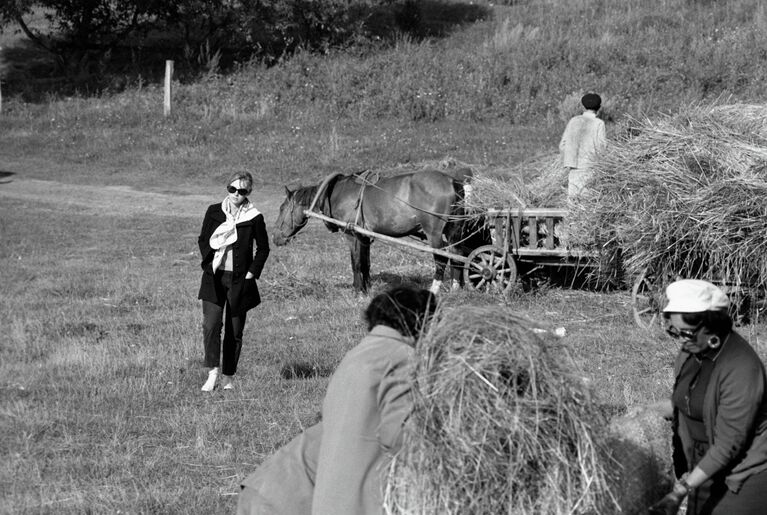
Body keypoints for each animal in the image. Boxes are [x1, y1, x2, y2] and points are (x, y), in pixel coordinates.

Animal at [272, 167, 472, 292]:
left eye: (281, 209)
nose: (275, 237)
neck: (334, 192)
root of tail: (452, 180)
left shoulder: (352, 235)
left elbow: (355, 263)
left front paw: (357, 290)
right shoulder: (364, 237)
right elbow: (365, 263)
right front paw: (366, 287)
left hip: (434, 233)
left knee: (442, 259)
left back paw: (435, 288)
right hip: (451, 231)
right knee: (457, 255)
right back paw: (456, 286)